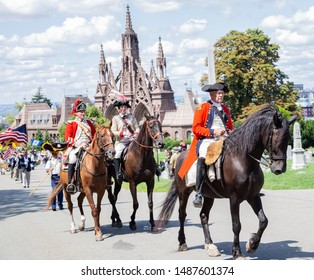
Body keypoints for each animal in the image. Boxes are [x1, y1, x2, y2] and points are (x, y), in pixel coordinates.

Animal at [158, 105, 298, 260]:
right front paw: (237, 251)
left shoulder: (253, 196)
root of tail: (180, 156)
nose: (279, 169)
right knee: (182, 215)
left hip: (209, 195)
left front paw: (252, 244)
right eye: (276, 137)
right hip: (183, 192)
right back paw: (182, 242)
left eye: (288, 138)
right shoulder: (234, 198)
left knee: (204, 216)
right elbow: (236, 225)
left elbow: (263, 221)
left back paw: (210, 245)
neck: (244, 159)